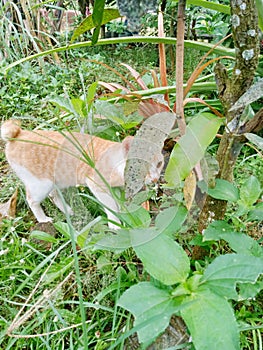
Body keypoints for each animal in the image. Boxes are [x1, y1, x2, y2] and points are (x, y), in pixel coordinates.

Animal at [1, 119, 164, 230]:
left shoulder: (117, 188)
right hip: (40, 185)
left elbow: (119, 203)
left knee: (54, 196)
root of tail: (19, 133)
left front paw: (124, 213)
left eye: (159, 164)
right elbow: (110, 206)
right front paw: (116, 224)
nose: (155, 178)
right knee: (32, 201)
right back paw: (43, 219)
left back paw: (69, 211)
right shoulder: (96, 185)